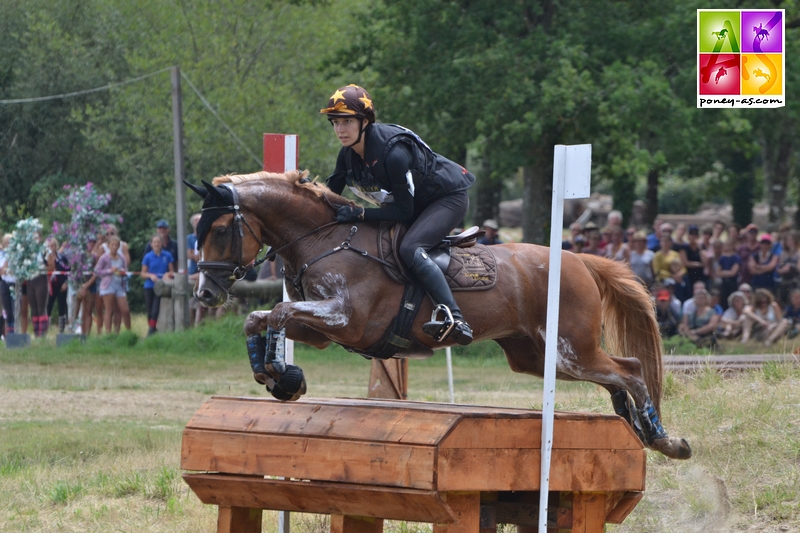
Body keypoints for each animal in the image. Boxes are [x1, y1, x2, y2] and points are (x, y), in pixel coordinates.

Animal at [189, 169, 692, 458]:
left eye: (220, 229)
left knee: (629, 370)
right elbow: (261, 317)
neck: (325, 238)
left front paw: (283, 377)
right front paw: (276, 376)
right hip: (536, 356)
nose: (205, 293)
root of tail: (581, 259)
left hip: (570, 350)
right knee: (616, 375)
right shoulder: (321, 329)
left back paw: (665, 439)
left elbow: (275, 311)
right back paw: (636, 426)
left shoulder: (345, 321)